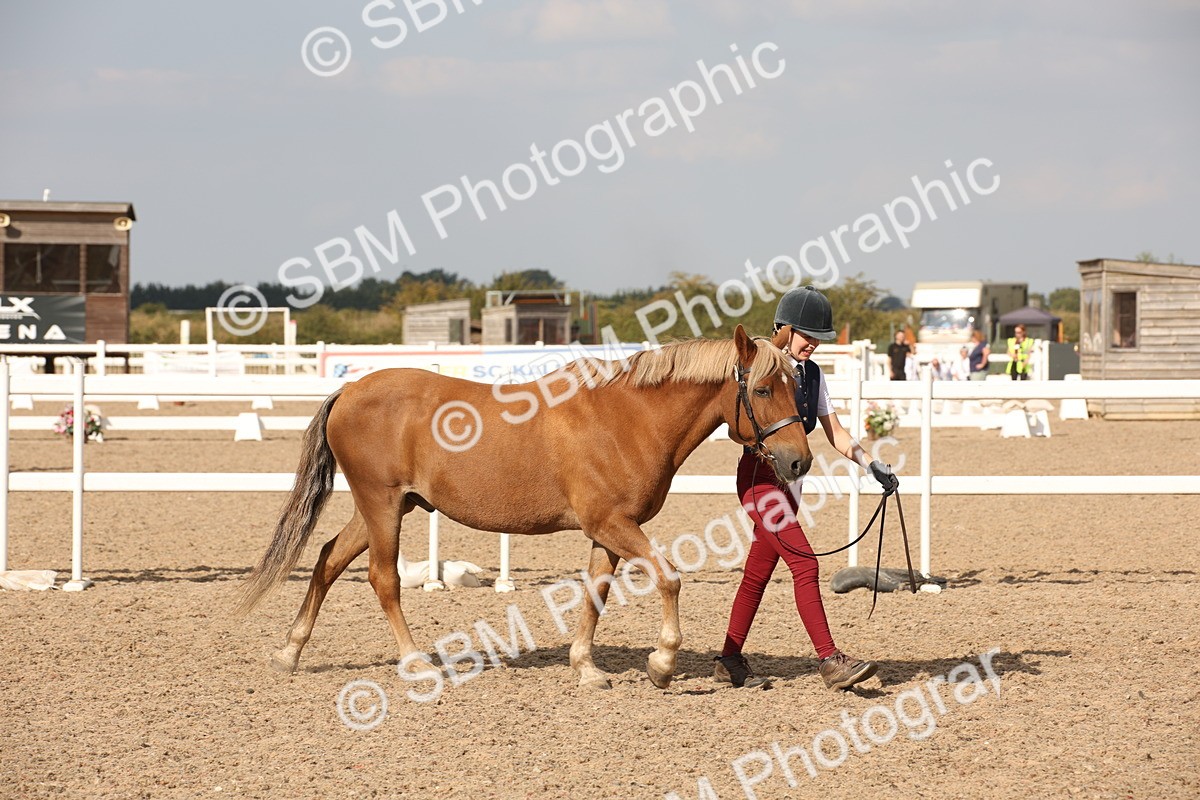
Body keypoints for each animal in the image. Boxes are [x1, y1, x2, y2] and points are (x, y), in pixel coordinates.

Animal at [237, 324, 815, 690]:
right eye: (764, 389)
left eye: (795, 385)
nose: (799, 460)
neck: (629, 417)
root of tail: (352, 388)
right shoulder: (613, 523)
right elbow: (669, 579)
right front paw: (662, 663)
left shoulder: (607, 530)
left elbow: (596, 593)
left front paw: (587, 668)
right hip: (381, 506)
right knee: (384, 579)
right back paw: (416, 663)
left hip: (384, 508)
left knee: (328, 559)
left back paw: (289, 652)